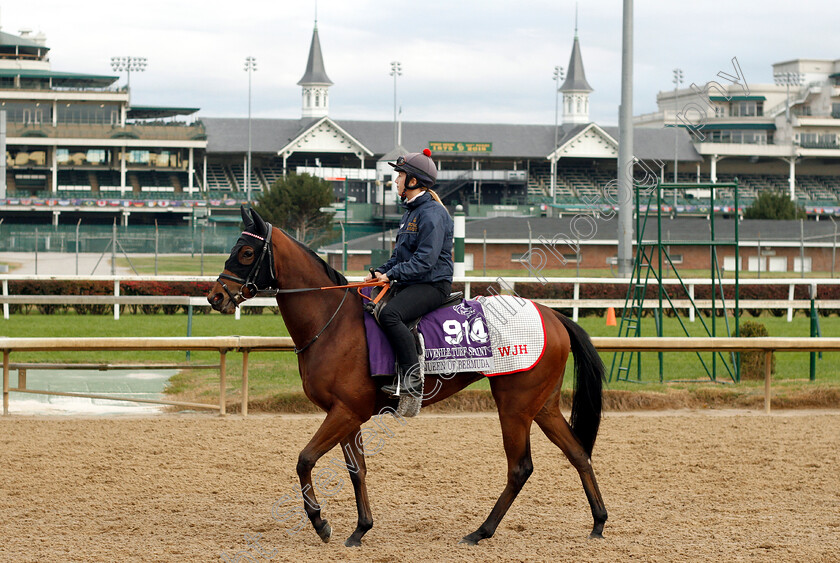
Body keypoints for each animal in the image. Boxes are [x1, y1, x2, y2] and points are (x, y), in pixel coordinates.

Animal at [207, 206, 608, 548]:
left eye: (246, 252)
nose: (215, 296)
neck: (333, 323)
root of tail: (554, 315)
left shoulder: (345, 412)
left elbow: (305, 460)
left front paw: (321, 522)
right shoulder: (347, 415)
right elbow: (356, 470)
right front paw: (360, 529)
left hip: (515, 406)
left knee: (520, 468)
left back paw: (481, 531)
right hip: (543, 406)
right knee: (578, 453)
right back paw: (598, 522)